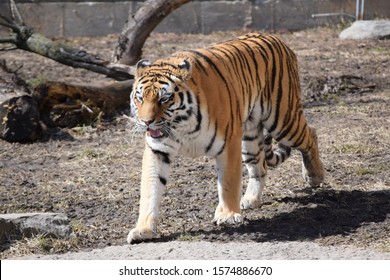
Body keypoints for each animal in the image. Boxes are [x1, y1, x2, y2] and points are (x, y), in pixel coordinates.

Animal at [126, 32, 324, 243]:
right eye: (140, 98)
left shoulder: (229, 143)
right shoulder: (157, 150)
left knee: (311, 134)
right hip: (251, 137)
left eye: (164, 99)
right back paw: (251, 199)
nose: (146, 122)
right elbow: (150, 189)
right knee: (260, 167)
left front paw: (227, 215)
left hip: (283, 120)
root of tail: (276, 38)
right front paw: (143, 229)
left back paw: (315, 176)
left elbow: (228, 182)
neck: (181, 126)